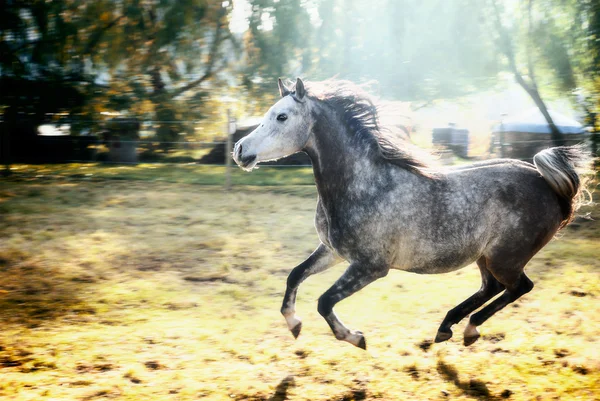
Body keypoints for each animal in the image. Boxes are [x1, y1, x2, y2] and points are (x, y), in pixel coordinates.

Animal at [232, 77, 588, 346]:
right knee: (492, 288)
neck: (365, 185)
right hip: (486, 258)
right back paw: (447, 327)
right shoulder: (333, 251)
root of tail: (549, 183)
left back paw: (468, 328)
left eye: (282, 117)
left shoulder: (371, 267)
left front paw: (355, 337)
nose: (239, 150)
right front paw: (294, 323)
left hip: (506, 259)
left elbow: (324, 301)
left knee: (519, 287)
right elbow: (295, 275)